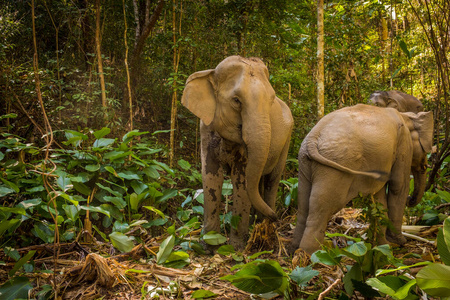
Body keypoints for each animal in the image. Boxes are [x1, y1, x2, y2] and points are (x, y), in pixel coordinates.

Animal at [181, 55, 294, 248]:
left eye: (271, 101)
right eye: (236, 100)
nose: (276, 217)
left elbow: (240, 179)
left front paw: (236, 247)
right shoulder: (206, 130)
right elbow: (211, 176)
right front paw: (209, 245)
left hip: (286, 142)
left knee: (272, 180)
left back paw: (264, 225)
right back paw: (259, 223)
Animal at [288, 104, 432, 254]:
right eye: (425, 151)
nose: (411, 199)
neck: (406, 115)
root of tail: (313, 138)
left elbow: (379, 198)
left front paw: (383, 246)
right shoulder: (403, 145)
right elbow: (398, 186)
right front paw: (399, 243)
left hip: (304, 162)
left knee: (304, 204)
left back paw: (294, 250)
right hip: (334, 167)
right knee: (322, 208)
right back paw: (311, 254)